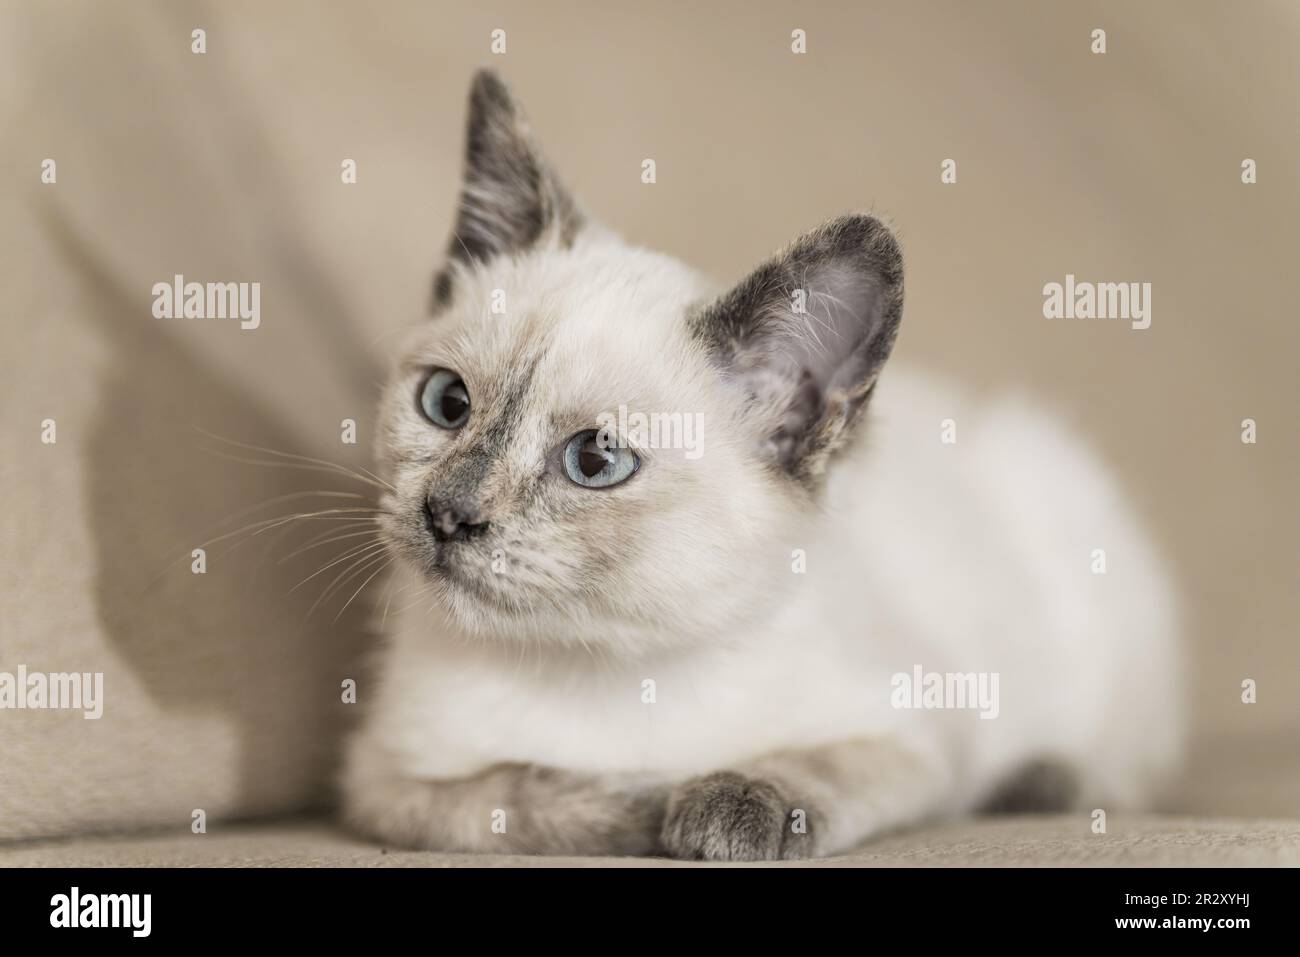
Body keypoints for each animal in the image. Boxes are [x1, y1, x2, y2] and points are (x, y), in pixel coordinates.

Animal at [340, 69, 1185, 858]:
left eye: (595, 460)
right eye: (446, 402)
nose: (448, 512)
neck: (602, 663)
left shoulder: (919, 736)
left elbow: (820, 766)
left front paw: (732, 805)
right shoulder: (382, 781)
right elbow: (517, 796)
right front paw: (645, 803)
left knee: (1127, 765)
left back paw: (1044, 778)